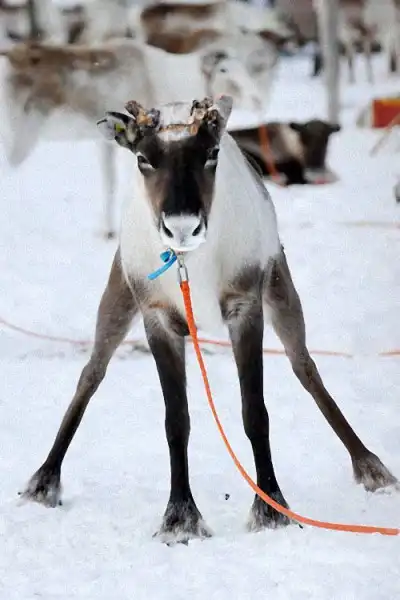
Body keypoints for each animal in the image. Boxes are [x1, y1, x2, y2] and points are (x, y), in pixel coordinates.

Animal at [19, 94, 398, 544]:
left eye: (211, 154)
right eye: (143, 158)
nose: (182, 226)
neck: (191, 264)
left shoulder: (244, 306)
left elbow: (255, 412)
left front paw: (271, 508)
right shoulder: (157, 318)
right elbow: (176, 420)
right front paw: (180, 517)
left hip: (281, 289)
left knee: (307, 370)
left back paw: (371, 465)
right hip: (118, 295)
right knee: (91, 374)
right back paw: (44, 479)